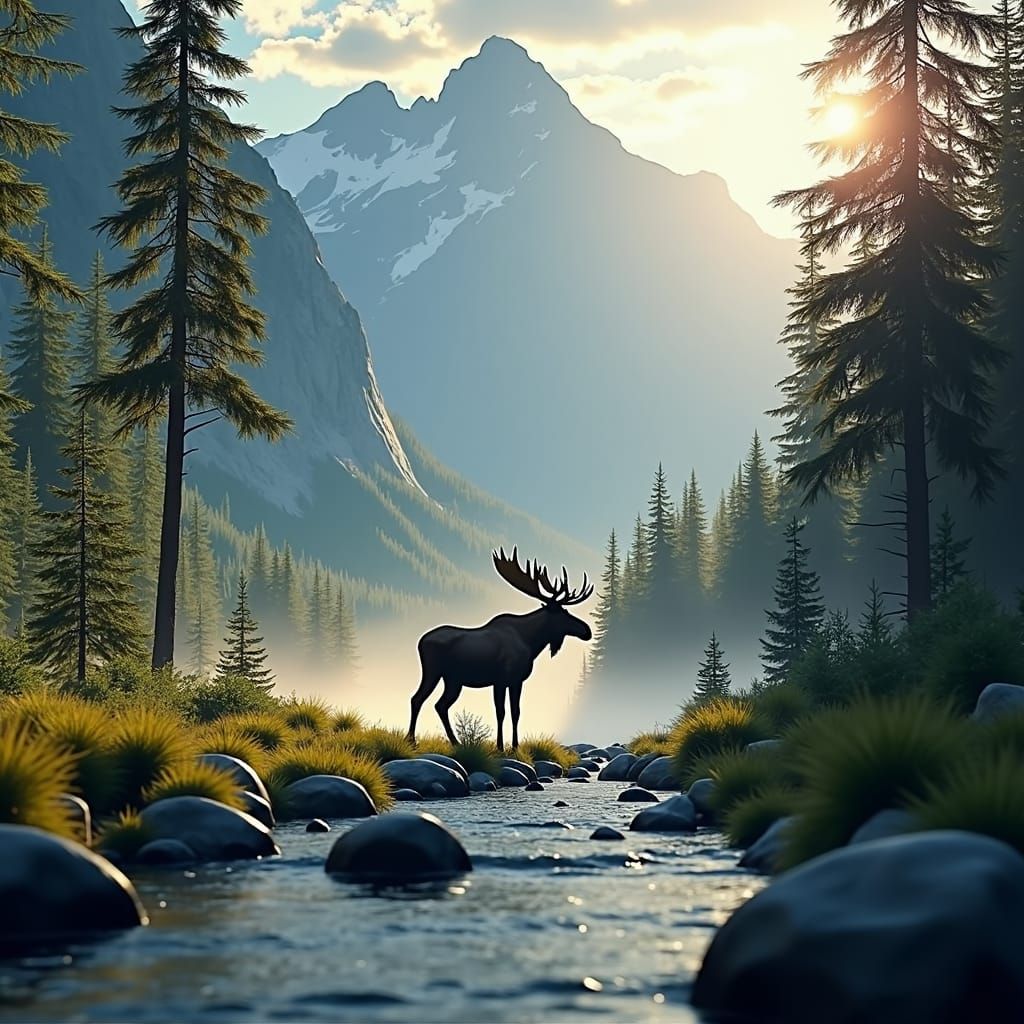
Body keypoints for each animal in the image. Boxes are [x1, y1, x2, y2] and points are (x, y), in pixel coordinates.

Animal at [407, 547, 594, 751]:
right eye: (563, 613)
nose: (587, 630)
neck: (531, 642)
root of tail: (420, 641)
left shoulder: (517, 681)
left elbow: (516, 712)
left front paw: (515, 746)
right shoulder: (501, 679)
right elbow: (501, 711)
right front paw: (500, 746)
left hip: (453, 681)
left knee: (440, 705)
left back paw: (455, 742)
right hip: (433, 672)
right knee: (417, 699)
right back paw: (411, 740)